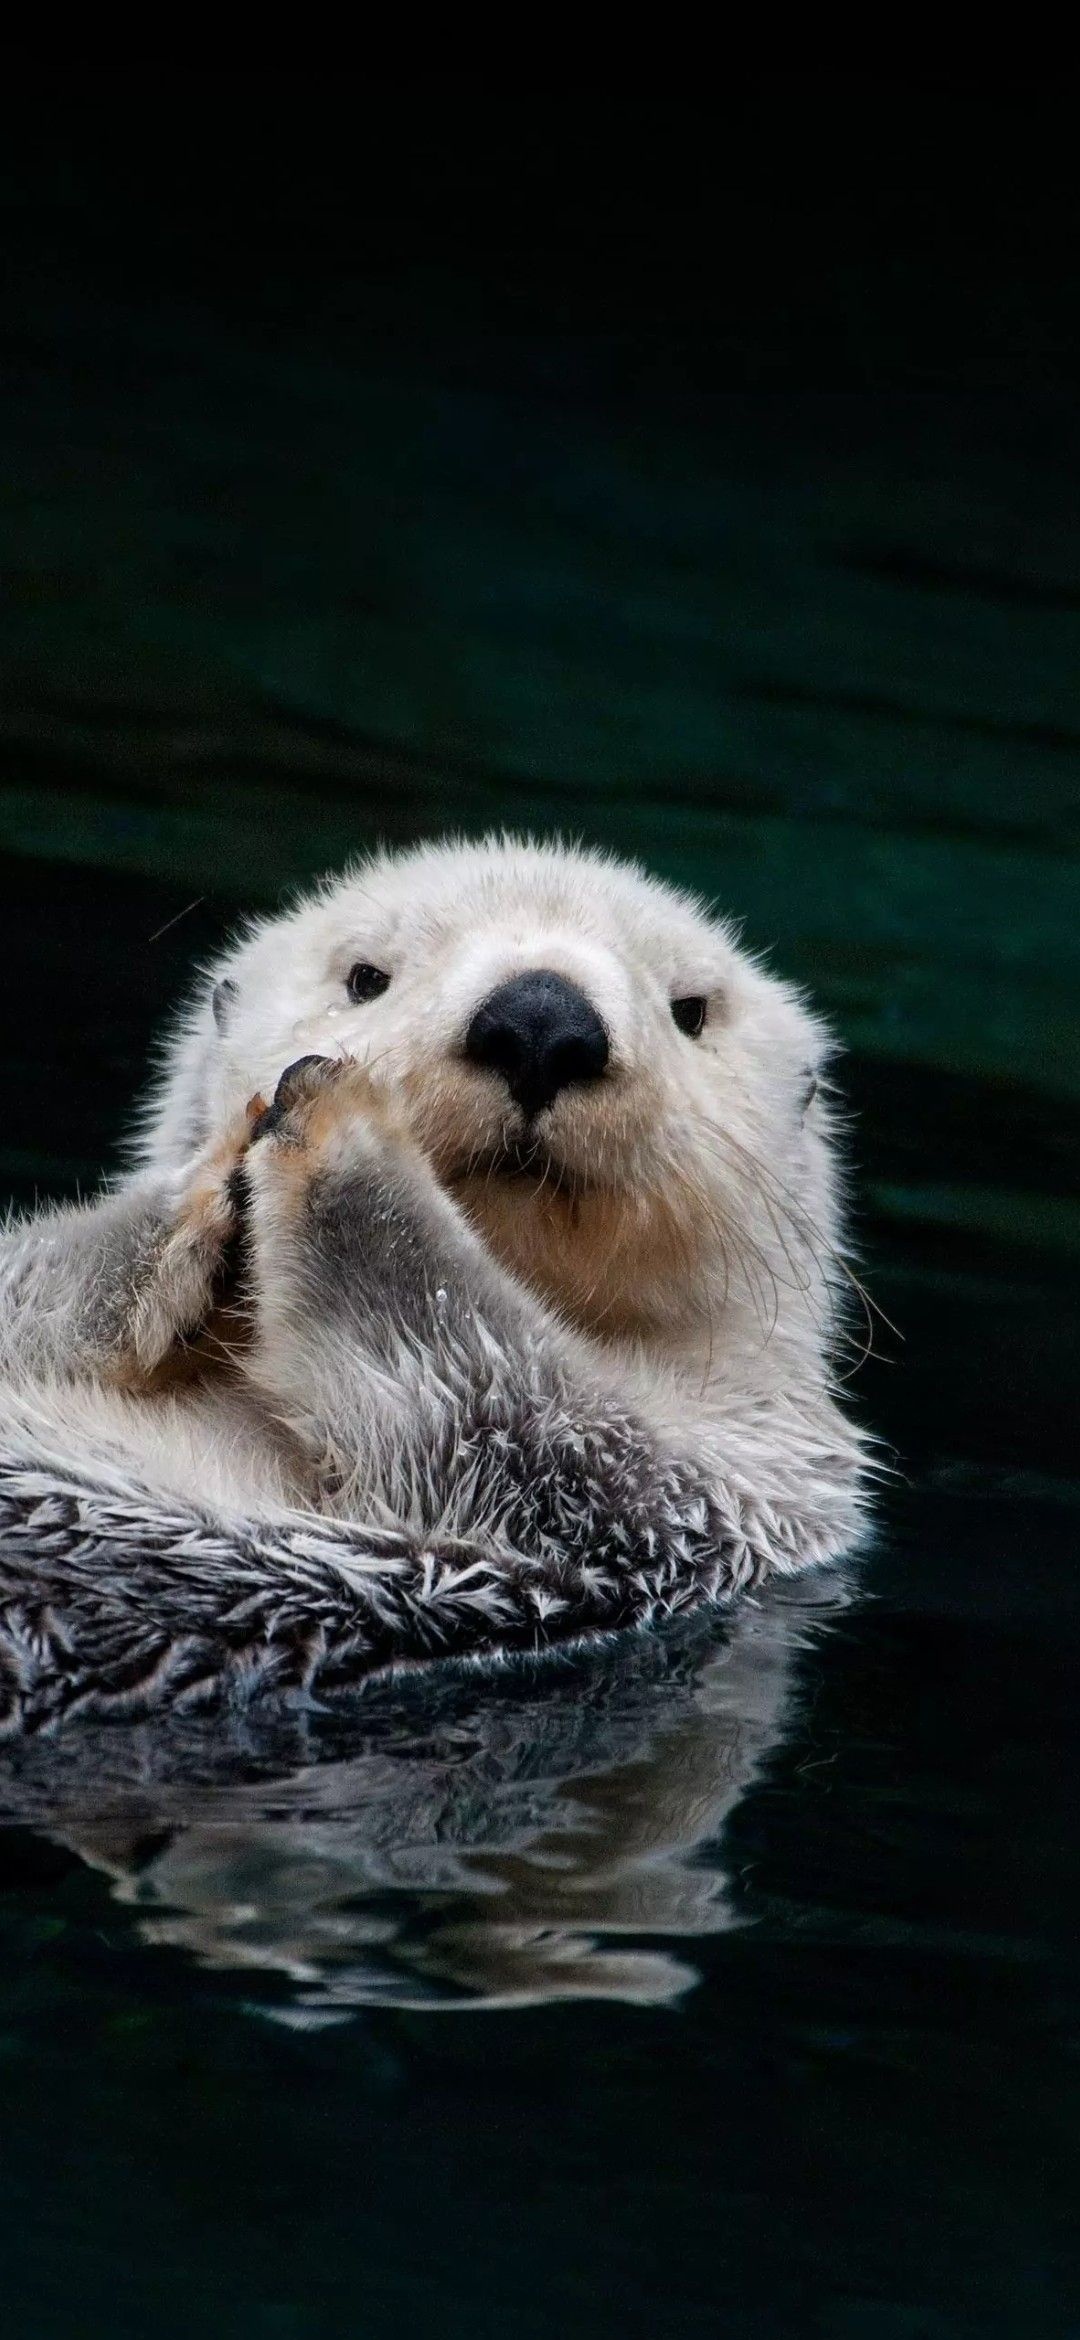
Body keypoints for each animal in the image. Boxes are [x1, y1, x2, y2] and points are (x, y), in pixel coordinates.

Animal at [0, 833, 864, 1731]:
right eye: (365, 976)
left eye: (691, 1011)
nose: (541, 1020)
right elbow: (29, 1280)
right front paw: (203, 1183)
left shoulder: (711, 1487)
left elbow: (509, 1406)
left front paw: (343, 1126)